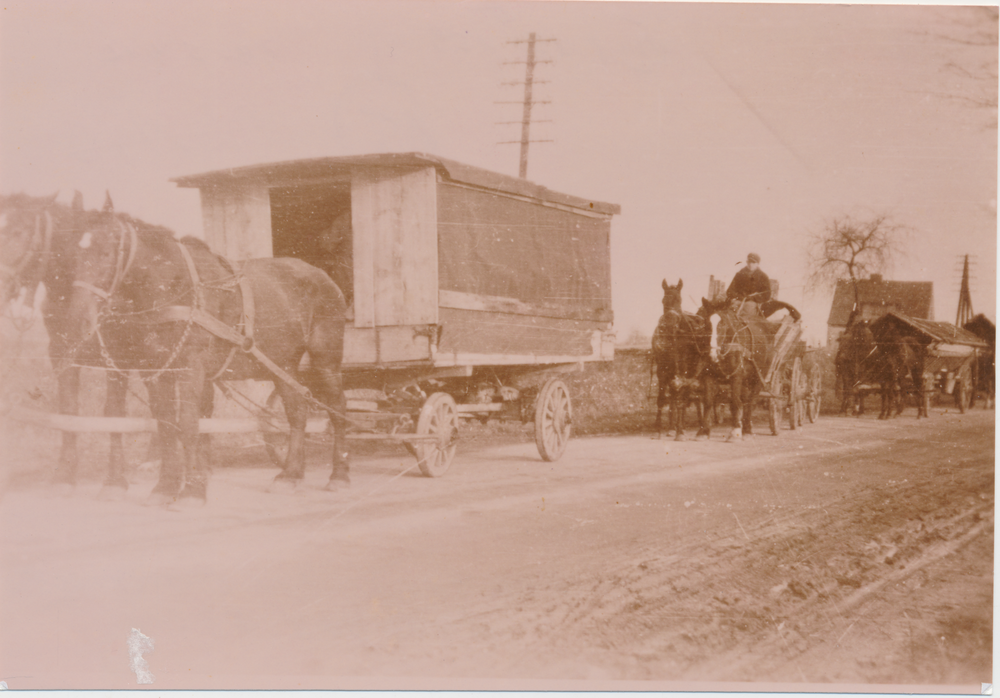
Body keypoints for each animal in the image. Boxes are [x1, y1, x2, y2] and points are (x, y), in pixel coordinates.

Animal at [0, 192, 170, 490]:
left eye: (19, 232)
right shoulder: (62, 352)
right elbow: (68, 410)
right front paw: (66, 473)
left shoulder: (118, 357)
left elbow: (114, 412)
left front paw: (115, 479)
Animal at [70, 200, 348, 500]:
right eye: (73, 254)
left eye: (106, 252)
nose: (80, 317)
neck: (172, 286)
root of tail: (322, 274)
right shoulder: (156, 369)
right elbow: (166, 423)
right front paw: (165, 487)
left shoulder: (191, 368)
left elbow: (188, 422)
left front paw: (192, 491)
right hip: (282, 364)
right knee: (297, 412)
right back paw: (290, 475)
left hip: (326, 360)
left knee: (337, 409)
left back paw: (339, 475)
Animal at [652, 278, 716, 438]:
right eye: (663, 301)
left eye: (679, 300)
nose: (669, 323)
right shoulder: (662, 370)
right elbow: (662, 398)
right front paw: (659, 428)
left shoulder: (684, 368)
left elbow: (683, 394)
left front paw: (680, 430)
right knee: (677, 395)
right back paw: (672, 426)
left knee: (693, 395)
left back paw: (699, 424)